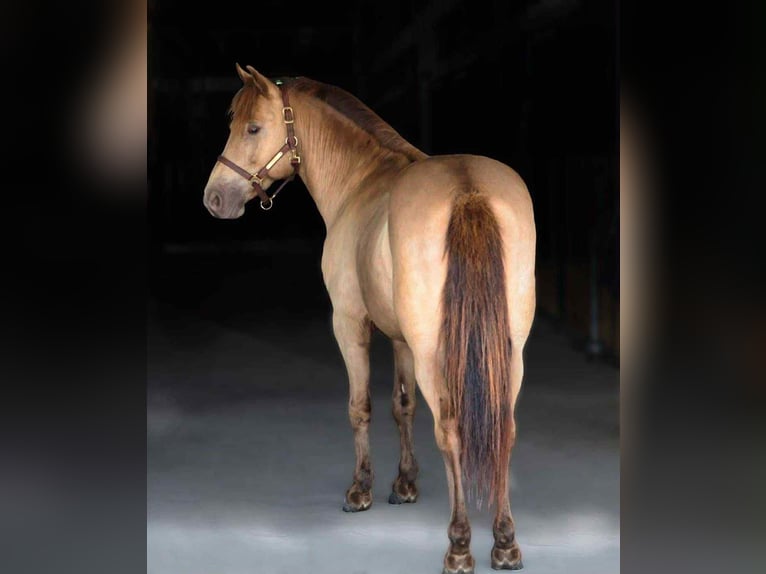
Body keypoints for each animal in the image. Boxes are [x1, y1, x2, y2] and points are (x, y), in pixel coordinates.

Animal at [202, 64, 536, 573]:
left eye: (253, 128)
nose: (215, 198)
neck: (362, 179)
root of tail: (468, 190)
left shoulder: (350, 324)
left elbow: (360, 407)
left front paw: (361, 490)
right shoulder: (400, 340)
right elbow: (403, 406)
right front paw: (405, 485)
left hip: (435, 355)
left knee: (452, 432)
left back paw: (460, 546)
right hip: (508, 351)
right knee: (505, 428)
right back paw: (505, 542)